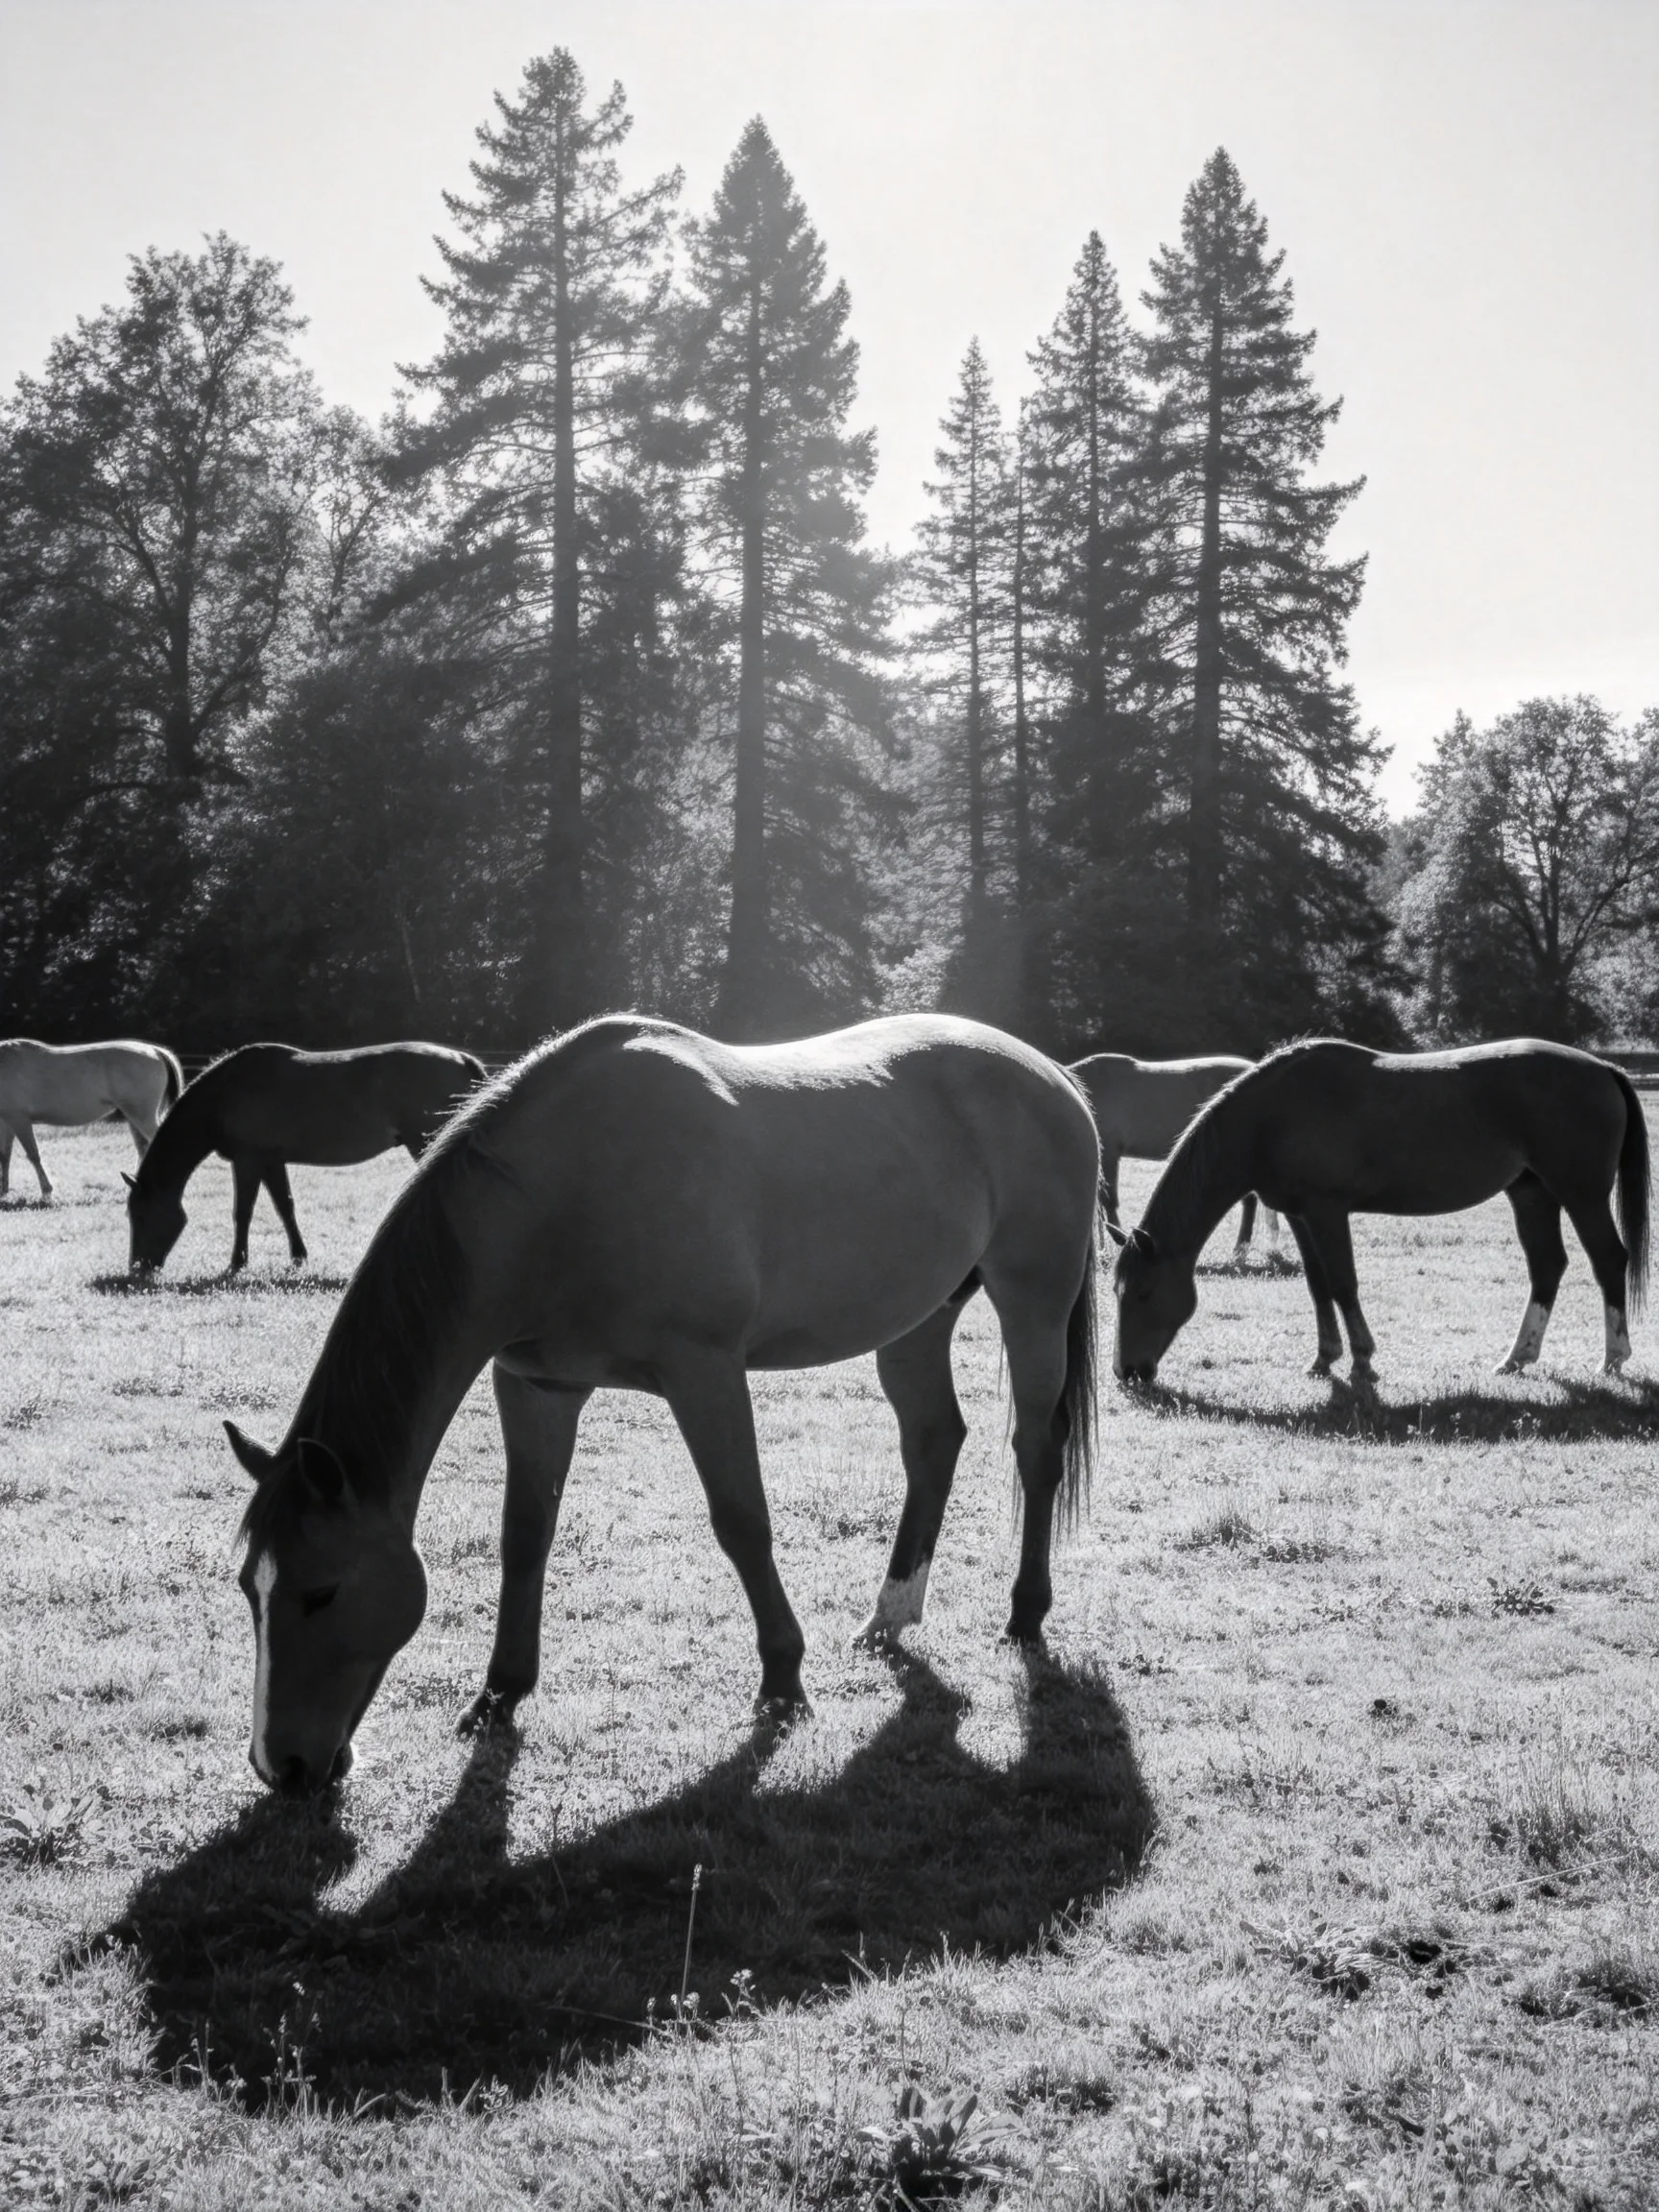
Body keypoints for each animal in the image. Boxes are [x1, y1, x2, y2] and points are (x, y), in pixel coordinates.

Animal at [0, 1039, 182, 1199]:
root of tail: (155, 1051)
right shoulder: (8, 1122)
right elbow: (5, 1155)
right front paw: (4, 1190)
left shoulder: (20, 1120)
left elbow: (33, 1155)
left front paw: (46, 1191)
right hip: (134, 1117)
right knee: (143, 1148)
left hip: (142, 1117)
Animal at [126, 1041, 486, 1273]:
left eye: (140, 1216)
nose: (137, 1268)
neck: (225, 1094)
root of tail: (461, 1059)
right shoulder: (271, 1161)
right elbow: (285, 1206)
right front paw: (298, 1256)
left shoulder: (247, 1161)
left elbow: (242, 1212)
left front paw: (237, 1263)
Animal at [217, 1013, 1101, 1795]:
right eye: (249, 1592)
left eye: (321, 1591)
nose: (280, 1767)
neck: (563, 1193)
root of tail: (1057, 1079)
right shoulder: (536, 1387)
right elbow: (525, 1536)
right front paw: (499, 1693)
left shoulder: (703, 1371)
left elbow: (742, 1522)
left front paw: (783, 1681)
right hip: (916, 1323)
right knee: (933, 1441)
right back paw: (889, 1614)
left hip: (1032, 1301)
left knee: (1035, 1450)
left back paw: (1025, 1614)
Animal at [1111, 1038, 1650, 1396]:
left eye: (1144, 1293)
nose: (1126, 1372)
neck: (1272, 1115)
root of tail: (1603, 1068)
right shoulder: (1301, 1216)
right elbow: (1318, 1286)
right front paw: (1323, 1359)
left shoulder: (1327, 1213)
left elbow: (1343, 1284)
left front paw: (1362, 1362)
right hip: (1532, 1194)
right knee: (1547, 1266)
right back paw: (1518, 1358)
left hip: (1580, 1195)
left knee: (1607, 1260)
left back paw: (1613, 1358)